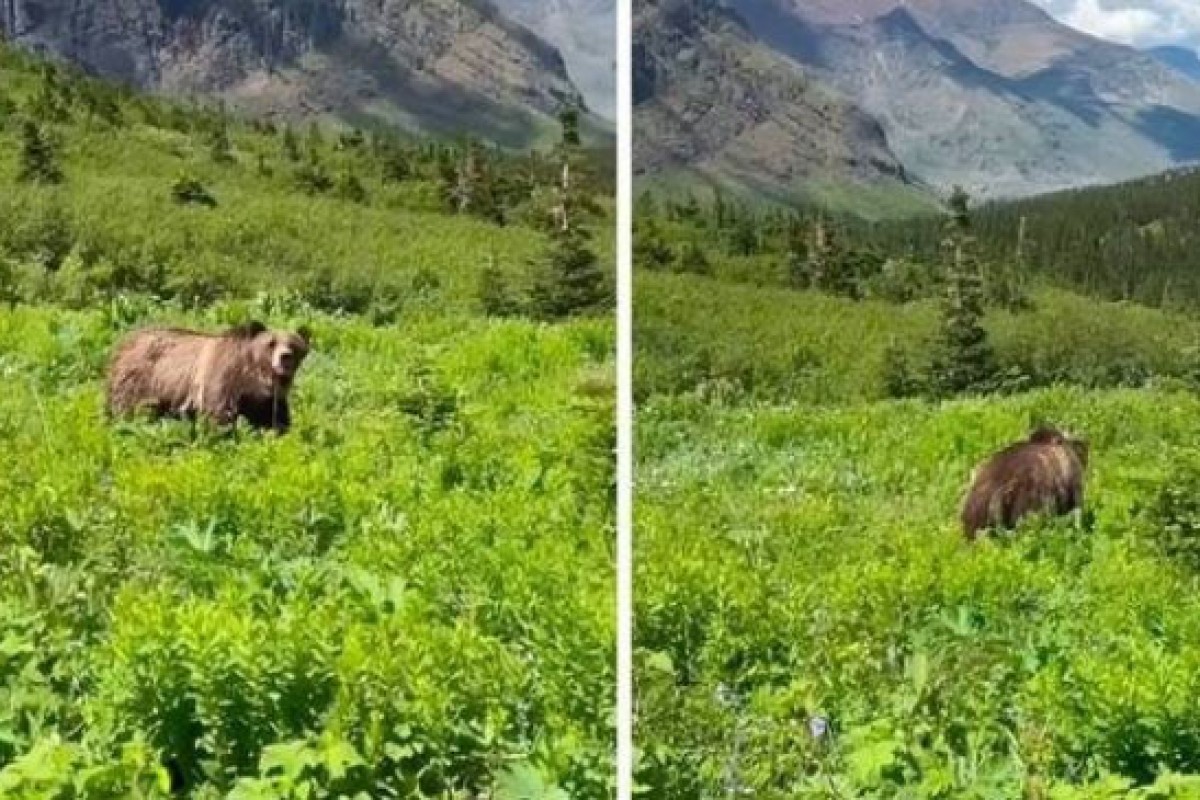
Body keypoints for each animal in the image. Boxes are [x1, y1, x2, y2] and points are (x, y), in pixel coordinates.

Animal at [107, 319, 312, 431]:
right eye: (271, 343)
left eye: (294, 344)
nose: (285, 357)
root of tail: (123, 344)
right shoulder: (223, 380)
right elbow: (219, 416)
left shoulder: (267, 401)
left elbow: (275, 421)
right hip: (141, 383)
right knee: (128, 411)